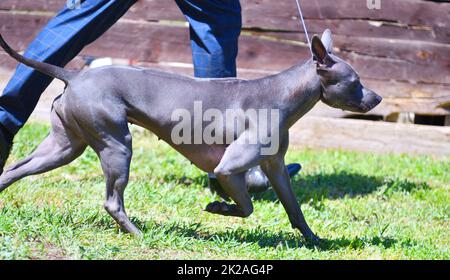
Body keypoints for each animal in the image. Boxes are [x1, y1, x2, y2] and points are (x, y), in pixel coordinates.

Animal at [0, 29, 380, 242]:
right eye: (355, 81)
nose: (377, 98)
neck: (282, 95)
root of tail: (73, 75)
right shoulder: (229, 168)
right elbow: (247, 207)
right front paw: (218, 207)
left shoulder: (276, 167)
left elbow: (295, 209)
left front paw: (315, 240)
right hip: (116, 146)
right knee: (112, 201)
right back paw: (138, 235)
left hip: (64, 147)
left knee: (13, 170)